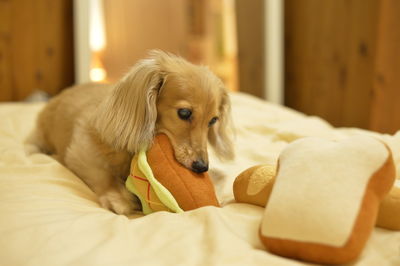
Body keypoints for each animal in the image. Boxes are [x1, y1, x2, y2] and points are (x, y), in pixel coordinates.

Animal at [29, 50, 234, 215]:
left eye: (213, 120)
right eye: (184, 113)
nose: (202, 167)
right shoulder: (81, 149)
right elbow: (102, 174)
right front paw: (117, 197)